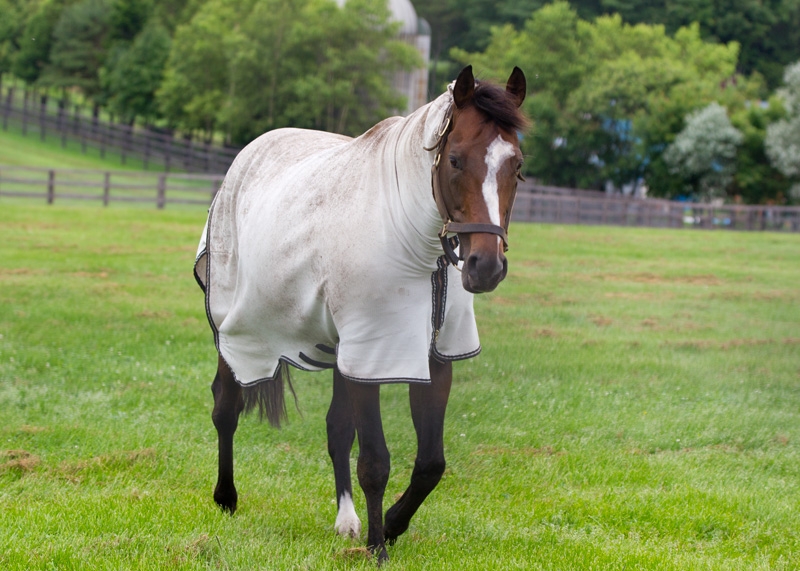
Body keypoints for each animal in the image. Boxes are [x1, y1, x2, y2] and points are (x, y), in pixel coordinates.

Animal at [193, 65, 527, 562]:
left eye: (516, 166)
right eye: (455, 160)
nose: (485, 266)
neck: (409, 237)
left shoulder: (430, 355)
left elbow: (430, 462)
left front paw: (388, 525)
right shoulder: (373, 352)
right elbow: (375, 460)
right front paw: (379, 547)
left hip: (338, 350)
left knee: (335, 429)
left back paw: (346, 520)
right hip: (236, 331)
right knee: (225, 407)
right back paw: (226, 498)